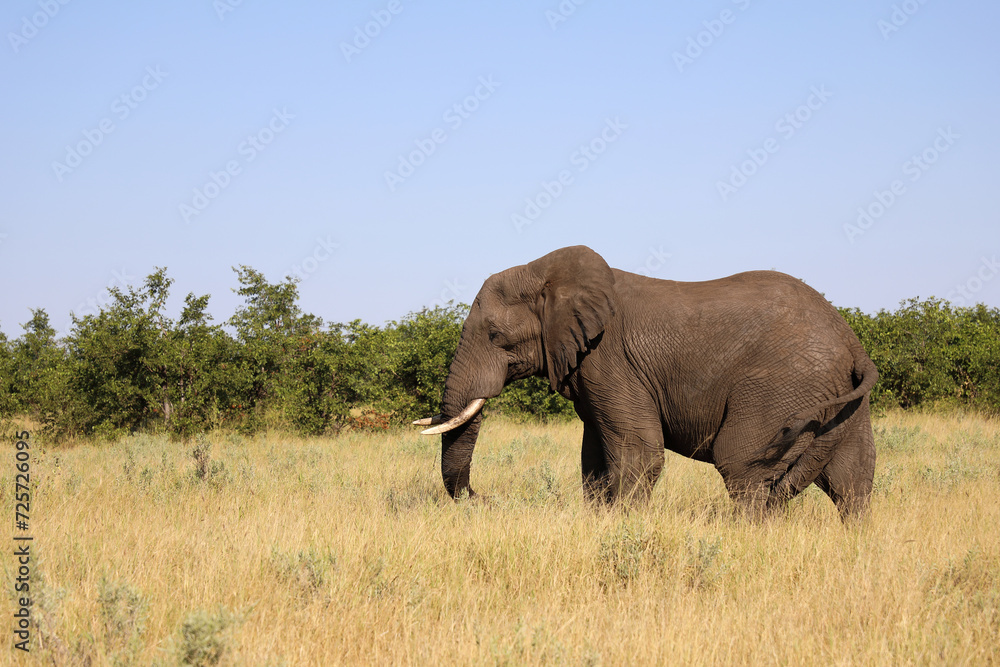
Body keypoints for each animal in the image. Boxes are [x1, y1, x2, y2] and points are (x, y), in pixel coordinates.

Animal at [412, 248, 876, 520]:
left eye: (495, 336)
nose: (482, 499)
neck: (548, 274)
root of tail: (851, 341)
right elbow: (595, 458)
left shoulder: (610, 359)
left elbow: (639, 453)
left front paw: (624, 527)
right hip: (838, 401)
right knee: (852, 481)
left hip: (779, 389)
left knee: (743, 468)